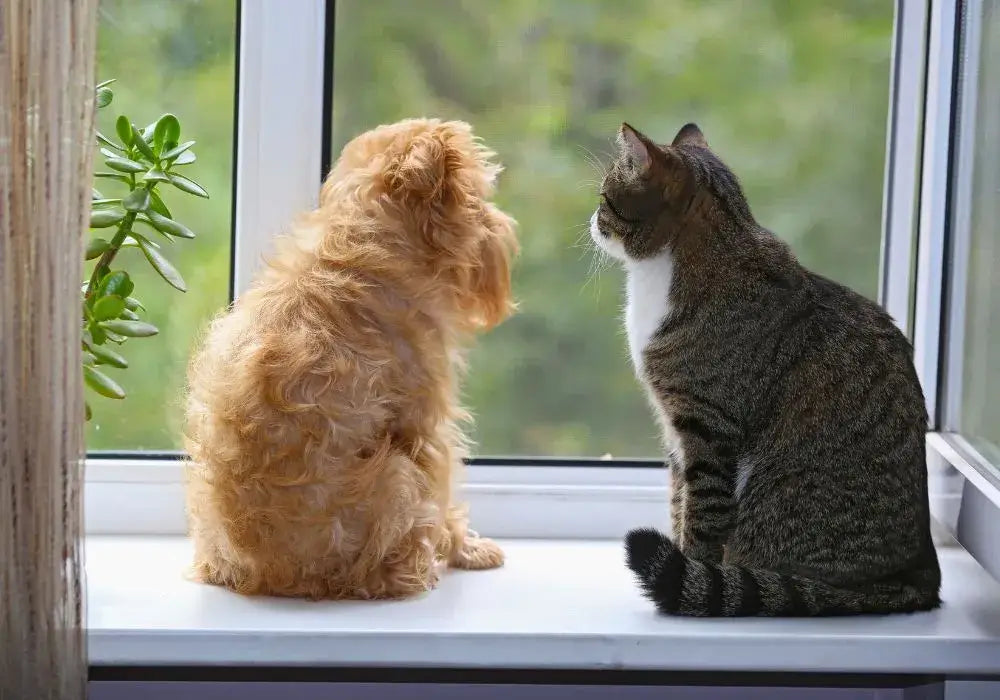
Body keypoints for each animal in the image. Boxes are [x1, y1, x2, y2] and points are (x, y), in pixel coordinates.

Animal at [183, 117, 520, 600]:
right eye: (479, 197)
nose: (503, 224)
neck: (369, 237)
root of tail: (276, 578)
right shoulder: (427, 429)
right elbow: (446, 496)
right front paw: (465, 549)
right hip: (397, 473)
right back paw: (414, 569)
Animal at [588, 123, 940, 616]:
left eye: (604, 197)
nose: (591, 220)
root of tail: (919, 575)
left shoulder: (708, 427)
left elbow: (702, 517)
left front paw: (689, 572)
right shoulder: (676, 432)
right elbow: (679, 501)